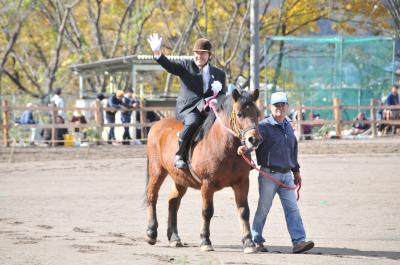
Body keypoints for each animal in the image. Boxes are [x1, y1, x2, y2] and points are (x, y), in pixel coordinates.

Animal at [145, 88, 260, 252]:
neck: (225, 147)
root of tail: (157, 125)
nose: (254, 139)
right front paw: (205, 241)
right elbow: (207, 211)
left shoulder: (242, 183)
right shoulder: (207, 184)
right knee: (152, 196)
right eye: (239, 114)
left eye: (257, 113)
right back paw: (151, 233)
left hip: (180, 179)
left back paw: (174, 237)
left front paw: (248, 242)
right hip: (157, 171)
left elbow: (244, 211)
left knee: (173, 202)